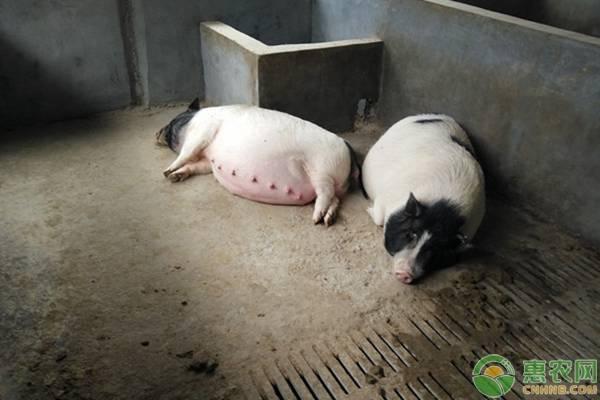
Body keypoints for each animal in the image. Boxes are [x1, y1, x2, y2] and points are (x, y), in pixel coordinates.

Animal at [155, 99, 361, 226]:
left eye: (171, 123)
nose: (156, 133)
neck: (190, 123)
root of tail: (348, 148)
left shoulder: (202, 131)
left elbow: (187, 152)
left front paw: (166, 171)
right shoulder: (208, 160)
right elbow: (196, 165)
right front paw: (173, 176)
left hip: (323, 168)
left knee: (326, 193)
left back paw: (316, 219)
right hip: (331, 179)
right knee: (335, 199)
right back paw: (328, 220)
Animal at [362, 114, 485, 283]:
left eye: (435, 248)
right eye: (411, 234)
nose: (405, 273)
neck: (444, 210)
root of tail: (434, 116)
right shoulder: (384, 197)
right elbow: (379, 218)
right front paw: (368, 209)